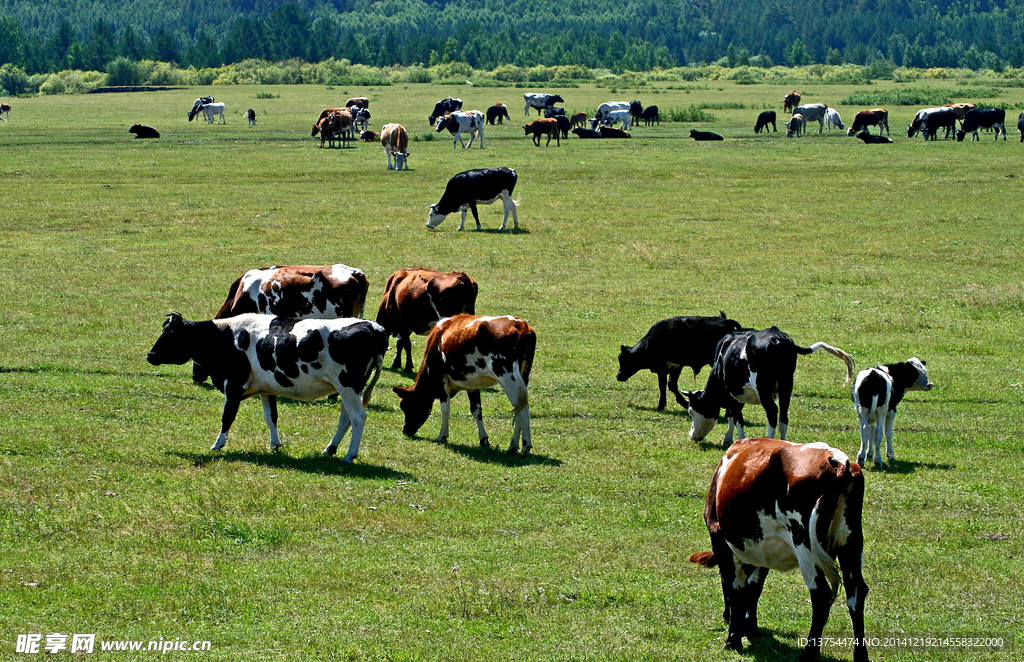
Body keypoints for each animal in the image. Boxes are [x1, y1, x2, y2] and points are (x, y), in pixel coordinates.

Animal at [144, 313, 385, 465]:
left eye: (169, 334)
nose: (150, 355)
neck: (225, 338)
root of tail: (373, 326)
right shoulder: (266, 389)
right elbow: (271, 417)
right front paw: (275, 445)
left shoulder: (233, 385)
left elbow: (227, 417)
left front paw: (217, 444)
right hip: (349, 388)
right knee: (346, 417)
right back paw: (330, 449)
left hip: (347, 385)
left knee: (358, 416)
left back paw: (350, 455)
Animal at [389, 315, 536, 457]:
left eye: (406, 406)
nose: (405, 430)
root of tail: (519, 323)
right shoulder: (473, 384)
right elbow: (476, 410)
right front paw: (483, 439)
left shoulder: (442, 379)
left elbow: (445, 408)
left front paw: (442, 436)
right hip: (523, 376)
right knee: (519, 408)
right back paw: (513, 447)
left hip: (507, 377)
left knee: (523, 409)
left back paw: (525, 447)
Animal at [614, 313, 745, 411]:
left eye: (623, 359)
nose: (618, 376)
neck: (651, 341)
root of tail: (727, 321)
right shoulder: (676, 366)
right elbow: (671, 384)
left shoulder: (663, 368)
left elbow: (665, 385)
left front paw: (664, 405)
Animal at [684, 325, 860, 446]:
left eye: (691, 411)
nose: (691, 436)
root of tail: (778, 338)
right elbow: (732, 416)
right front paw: (728, 439)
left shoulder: (733, 394)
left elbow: (736, 417)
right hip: (786, 385)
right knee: (783, 416)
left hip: (762, 388)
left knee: (772, 412)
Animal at [692, 436, 868, 662]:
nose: (725, 616)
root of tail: (837, 461)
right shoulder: (762, 551)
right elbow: (754, 587)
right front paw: (750, 628)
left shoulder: (719, 538)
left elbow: (734, 587)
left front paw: (733, 639)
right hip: (851, 545)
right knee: (856, 592)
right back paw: (860, 654)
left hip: (805, 545)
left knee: (820, 593)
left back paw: (809, 651)